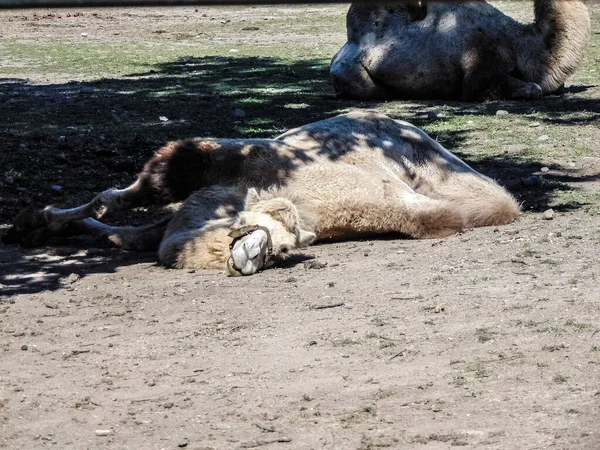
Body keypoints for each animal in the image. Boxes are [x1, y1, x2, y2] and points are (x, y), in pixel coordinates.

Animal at [5, 110, 520, 276]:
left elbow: (133, 231)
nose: (253, 253)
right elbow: (121, 203)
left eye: (283, 246)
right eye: (260, 229)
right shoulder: (220, 167)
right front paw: (36, 220)